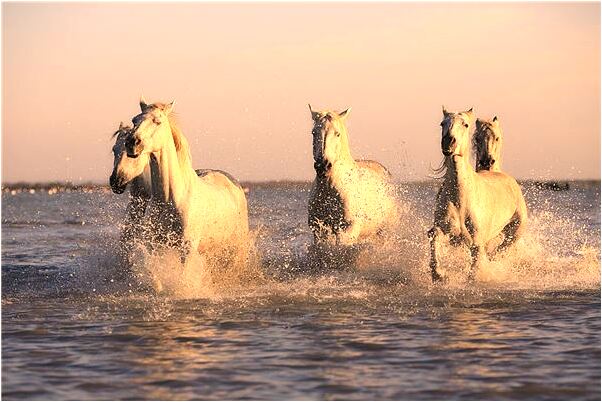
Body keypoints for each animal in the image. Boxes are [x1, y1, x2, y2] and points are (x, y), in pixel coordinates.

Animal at [113, 99, 247, 266]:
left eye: (158, 121)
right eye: (134, 120)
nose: (132, 142)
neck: (172, 198)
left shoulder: (187, 250)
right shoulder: (157, 247)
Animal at [304, 105, 398, 247]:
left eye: (337, 133)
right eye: (314, 132)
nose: (322, 166)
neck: (330, 189)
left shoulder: (346, 231)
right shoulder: (319, 230)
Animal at [426, 107, 524, 282]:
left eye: (465, 124)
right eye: (442, 123)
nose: (448, 142)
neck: (460, 198)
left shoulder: (476, 242)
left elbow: (475, 268)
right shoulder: (447, 231)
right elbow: (434, 235)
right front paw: (439, 274)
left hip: (515, 232)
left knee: (500, 249)